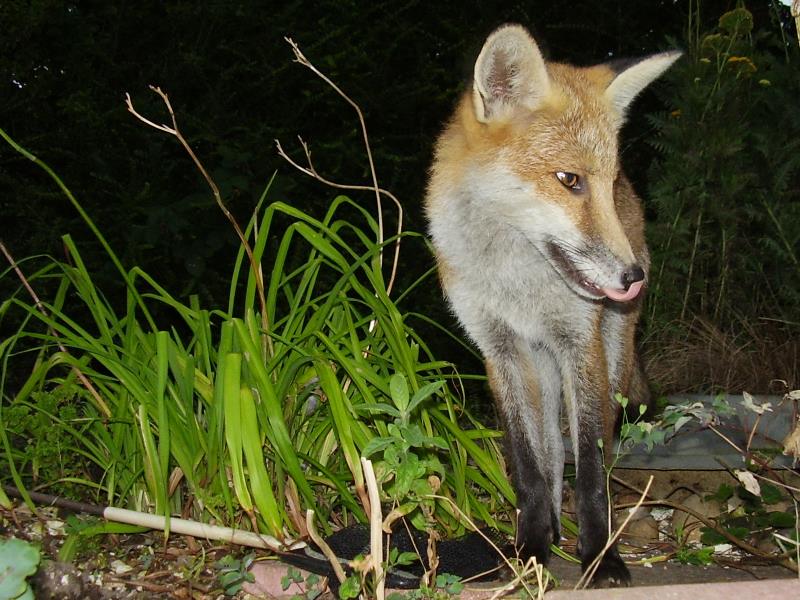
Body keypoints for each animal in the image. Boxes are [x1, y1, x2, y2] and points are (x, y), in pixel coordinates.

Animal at [424, 24, 680, 584]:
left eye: (608, 182)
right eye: (569, 180)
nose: (634, 277)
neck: (516, 280)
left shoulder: (580, 344)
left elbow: (589, 472)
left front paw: (601, 557)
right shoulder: (500, 349)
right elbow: (530, 468)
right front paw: (532, 548)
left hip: (609, 356)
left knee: (595, 447)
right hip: (541, 368)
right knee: (551, 448)